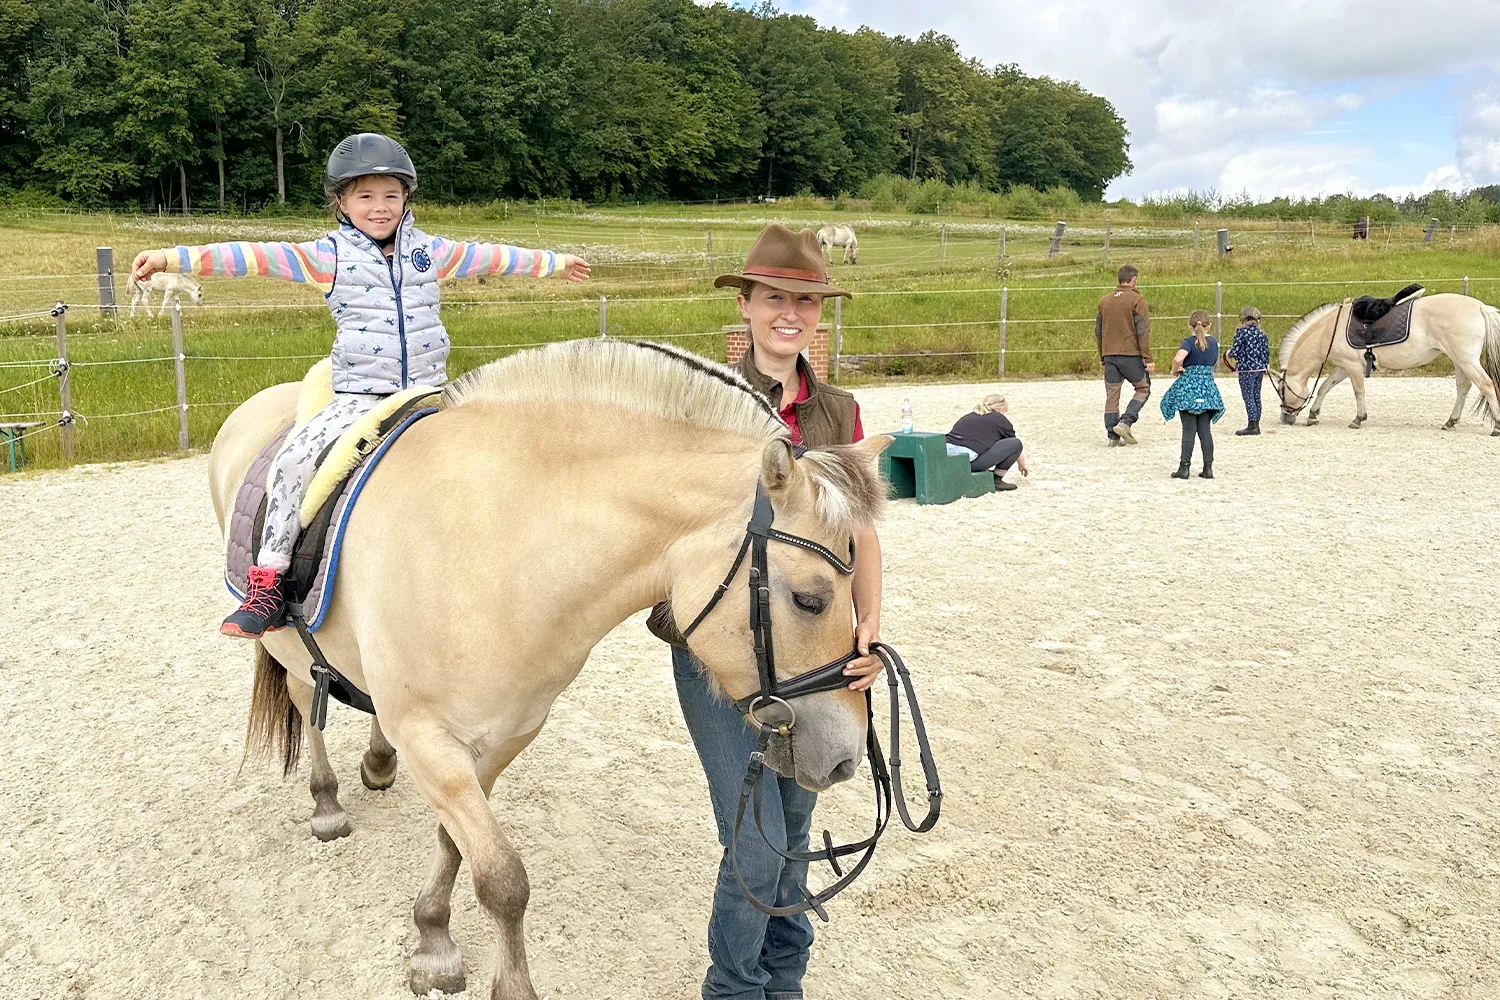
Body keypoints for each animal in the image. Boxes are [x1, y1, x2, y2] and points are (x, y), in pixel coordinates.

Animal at [210, 338, 888, 1000]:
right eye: (810, 599)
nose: (845, 756)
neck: (498, 546)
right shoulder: (433, 741)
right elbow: (503, 880)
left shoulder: (500, 739)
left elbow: (455, 845)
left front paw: (432, 934)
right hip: (286, 646)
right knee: (306, 698)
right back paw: (326, 801)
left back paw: (377, 762)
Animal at [1272, 289, 1500, 431]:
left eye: (1282, 390)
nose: (1285, 418)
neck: (1330, 330)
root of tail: (1480, 307)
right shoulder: (1344, 367)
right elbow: (1325, 387)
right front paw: (1313, 414)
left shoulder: (1353, 367)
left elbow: (1358, 391)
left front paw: (1358, 419)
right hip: (1459, 360)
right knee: (1463, 388)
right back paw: (1450, 422)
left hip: (1466, 360)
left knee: (1486, 385)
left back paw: (1496, 425)